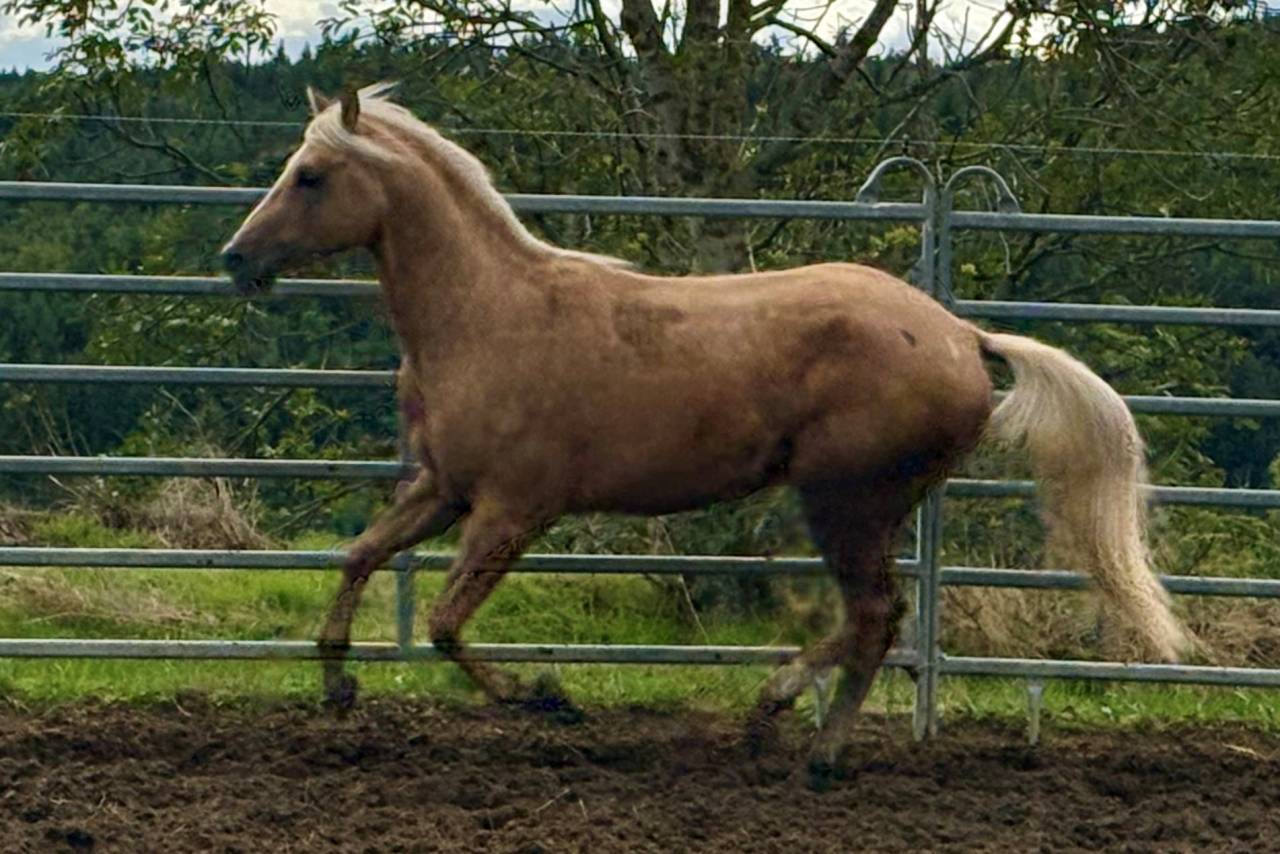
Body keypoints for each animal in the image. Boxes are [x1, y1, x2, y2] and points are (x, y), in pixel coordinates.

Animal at [221, 84, 1188, 783]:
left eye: (310, 175)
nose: (237, 259)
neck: (486, 317)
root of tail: (962, 335)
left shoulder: (513, 509)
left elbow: (448, 624)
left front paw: (547, 696)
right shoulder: (443, 489)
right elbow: (359, 557)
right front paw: (339, 685)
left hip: (845, 501)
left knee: (875, 617)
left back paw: (792, 729)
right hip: (865, 506)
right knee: (879, 622)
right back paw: (803, 736)